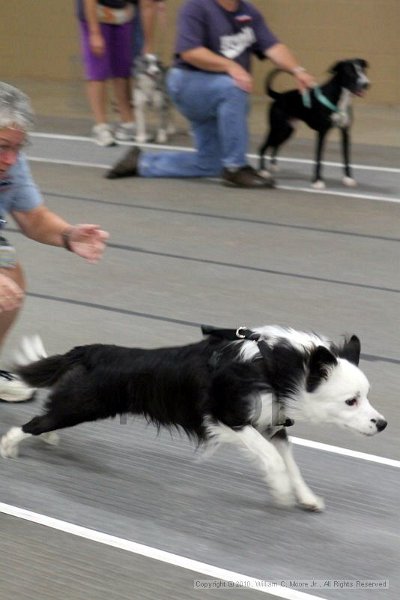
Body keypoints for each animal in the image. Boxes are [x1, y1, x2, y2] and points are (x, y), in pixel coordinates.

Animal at [1, 326, 386, 512]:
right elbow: (273, 460)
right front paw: (279, 491)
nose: (382, 424)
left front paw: (307, 498)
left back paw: (46, 440)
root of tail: (92, 350)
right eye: (351, 401)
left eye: (366, 396)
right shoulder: (226, 417)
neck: (278, 368)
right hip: (83, 403)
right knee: (33, 422)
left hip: (79, 405)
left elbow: (290, 461)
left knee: (47, 416)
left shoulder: (271, 423)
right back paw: (10, 447)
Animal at [260, 58, 368, 190]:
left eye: (363, 70)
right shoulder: (322, 133)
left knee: (275, 146)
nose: (366, 84)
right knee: (263, 147)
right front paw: (317, 181)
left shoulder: (345, 132)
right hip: (277, 129)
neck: (340, 99)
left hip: (286, 131)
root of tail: (279, 96)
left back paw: (273, 166)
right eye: (350, 72)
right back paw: (263, 171)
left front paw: (348, 179)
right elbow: (319, 158)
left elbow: (346, 158)